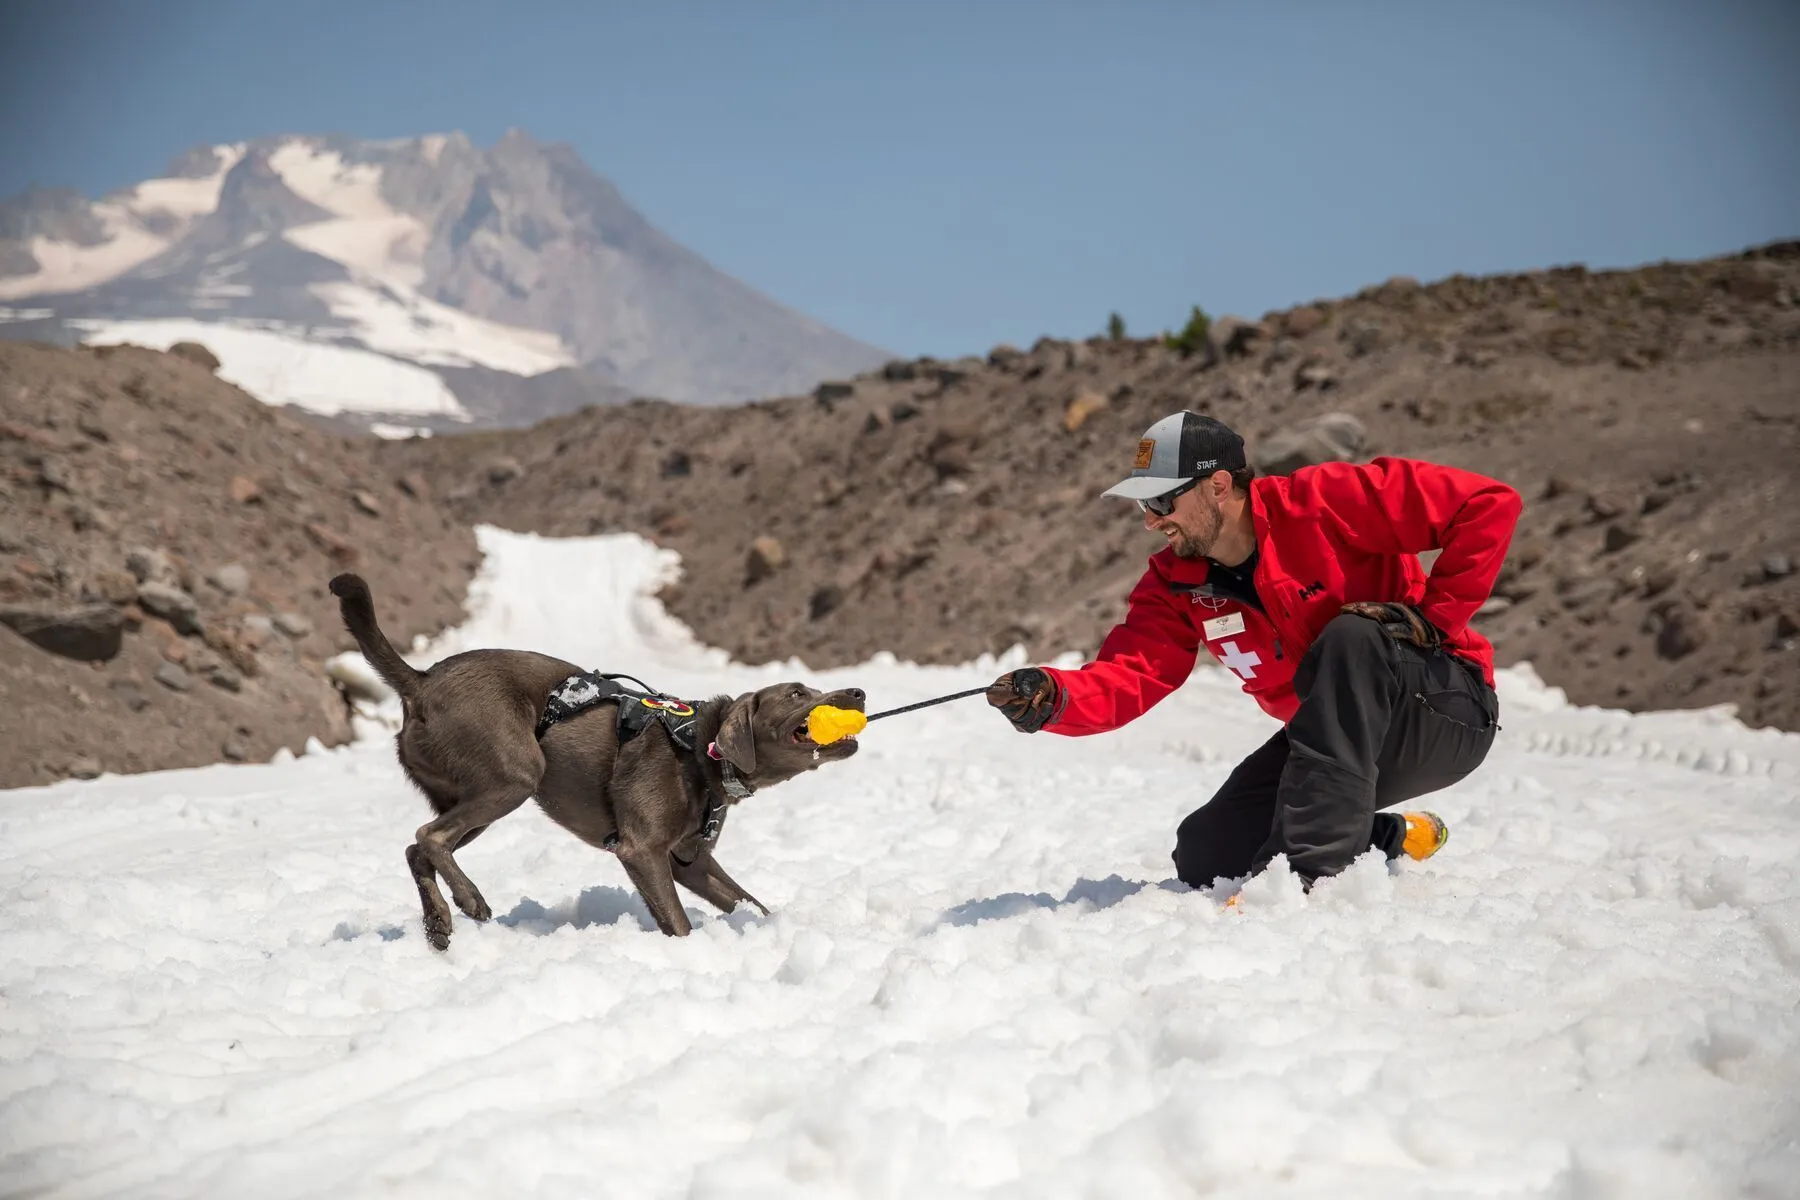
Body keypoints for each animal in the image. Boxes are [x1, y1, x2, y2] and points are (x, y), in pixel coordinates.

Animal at [329, 572, 864, 949]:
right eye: (797, 693)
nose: (857, 692)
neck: (701, 749)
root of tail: (420, 680)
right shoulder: (641, 850)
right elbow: (679, 922)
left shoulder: (691, 861)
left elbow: (748, 902)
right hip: (515, 776)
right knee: (429, 837)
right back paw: (469, 899)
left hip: (469, 794)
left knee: (415, 848)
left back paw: (438, 921)